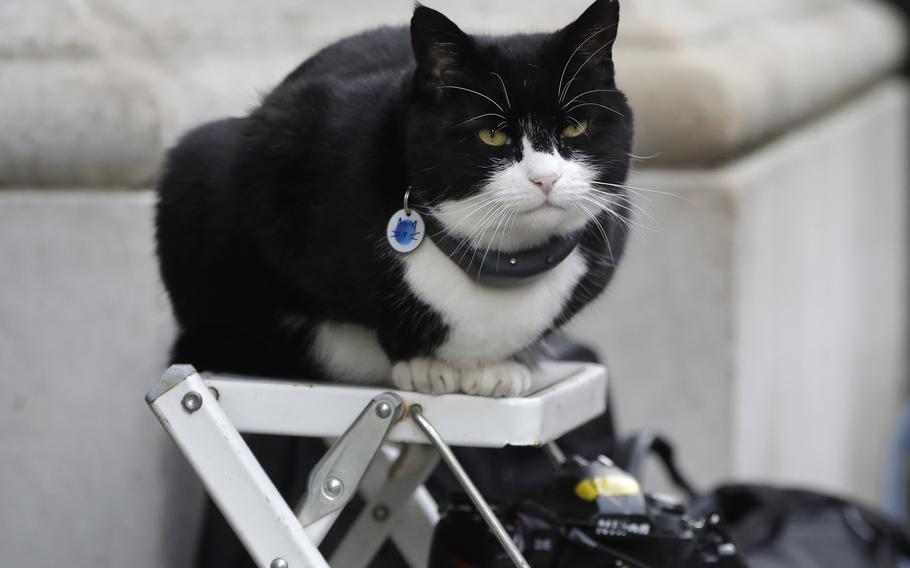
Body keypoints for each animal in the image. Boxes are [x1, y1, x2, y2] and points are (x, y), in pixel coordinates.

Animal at [155, 0, 636, 400]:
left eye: (575, 126)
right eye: (491, 135)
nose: (546, 179)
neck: (499, 258)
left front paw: (503, 366)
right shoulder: (277, 158)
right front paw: (423, 364)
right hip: (197, 160)